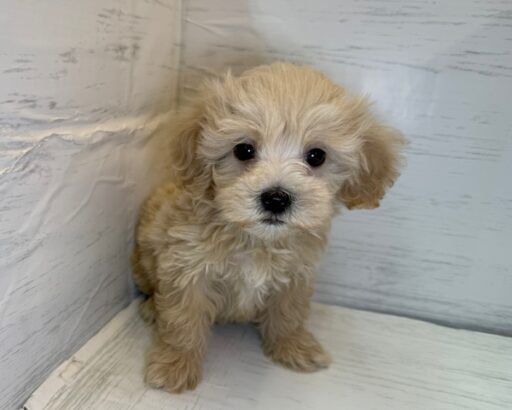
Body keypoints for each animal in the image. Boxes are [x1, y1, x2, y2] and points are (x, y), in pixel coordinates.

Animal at [131, 62, 404, 393]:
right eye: (243, 150)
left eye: (317, 156)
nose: (276, 198)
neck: (257, 241)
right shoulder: (187, 269)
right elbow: (183, 319)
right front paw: (175, 366)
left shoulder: (296, 276)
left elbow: (289, 313)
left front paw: (294, 347)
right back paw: (150, 309)